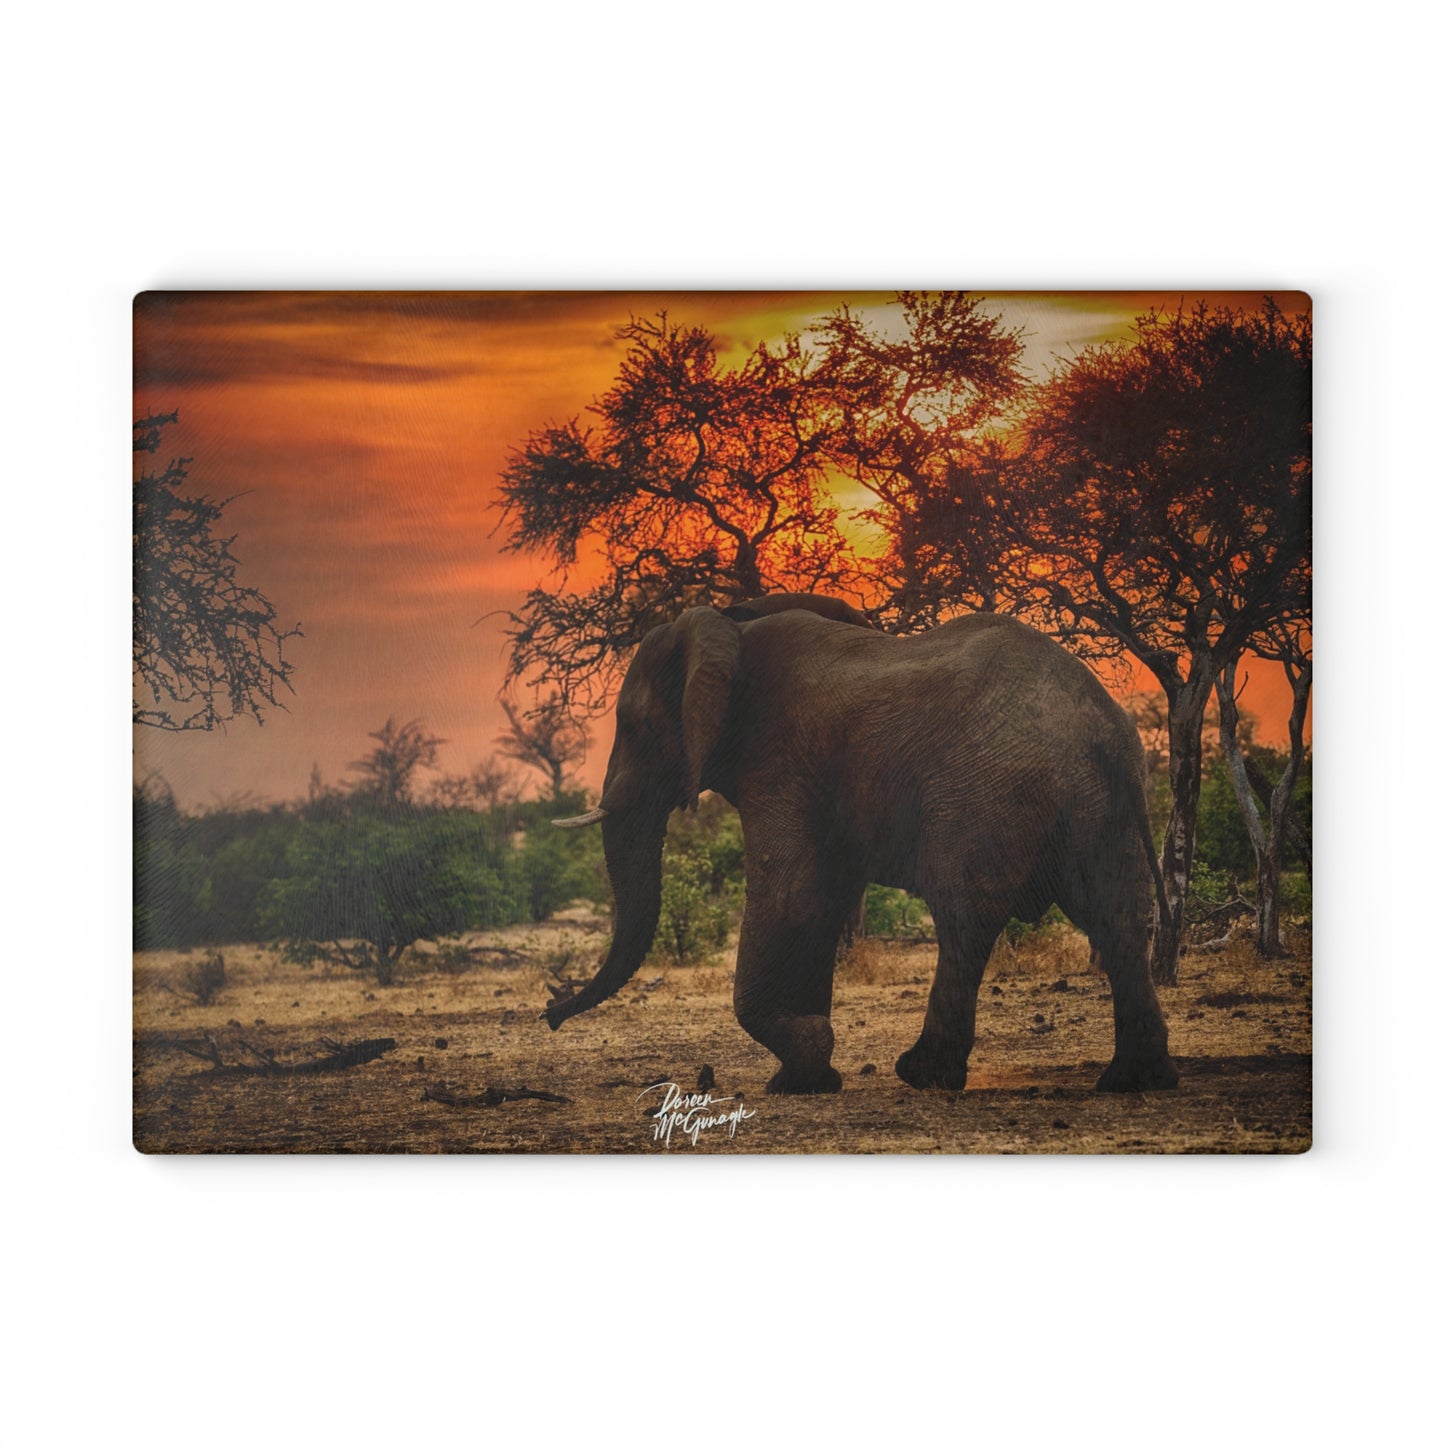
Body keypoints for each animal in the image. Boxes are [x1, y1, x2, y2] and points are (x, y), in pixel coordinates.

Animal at [548, 593, 1179, 1096]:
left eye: (633, 726)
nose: (552, 1013)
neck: (732, 626)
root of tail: (1105, 729)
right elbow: (822, 902)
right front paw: (804, 1079)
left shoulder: (782, 762)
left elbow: (791, 896)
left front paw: (808, 1053)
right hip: (1104, 807)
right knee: (1119, 919)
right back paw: (1134, 1080)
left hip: (990, 793)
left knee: (964, 919)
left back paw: (922, 1075)